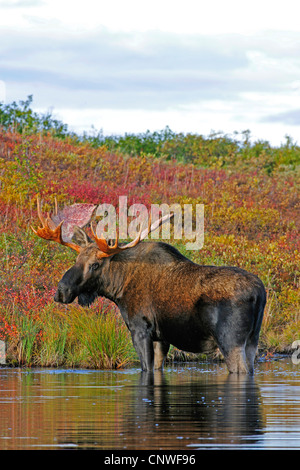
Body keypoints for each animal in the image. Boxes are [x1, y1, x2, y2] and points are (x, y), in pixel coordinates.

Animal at [32, 198, 264, 374]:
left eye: (95, 265)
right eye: (76, 260)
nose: (61, 292)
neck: (118, 288)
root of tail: (260, 293)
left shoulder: (140, 329)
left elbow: (146, 368)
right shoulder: (161, 338)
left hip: (230, 341)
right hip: (253, 340)